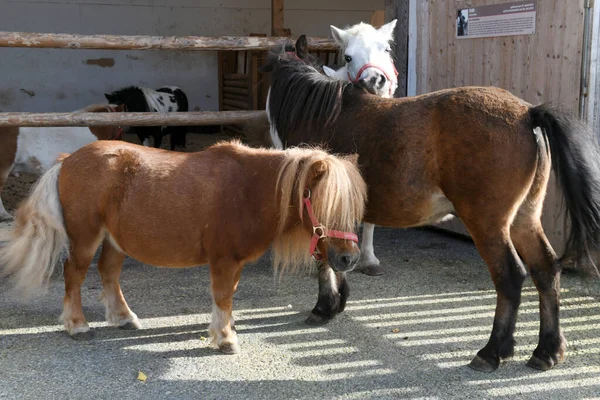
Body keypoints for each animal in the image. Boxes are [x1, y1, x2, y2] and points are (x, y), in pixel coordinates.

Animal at [0, 140, 366, 354]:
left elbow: (228, 296)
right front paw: (225, 338)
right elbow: (223, 296)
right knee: (74, 275)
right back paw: (77, 325)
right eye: (326, 205)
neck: (249, 189)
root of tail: (67, 160)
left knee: (108, 272)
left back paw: (123, 317)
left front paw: (226, 329)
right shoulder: (223, 260)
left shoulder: (233, 263)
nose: (348, 259)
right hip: (86, 238)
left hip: (115, 240)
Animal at [262, 39, 600, 372]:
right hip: (524, 219)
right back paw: (547, 350)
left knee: (511, 276)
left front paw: (324, 306)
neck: (320, 115)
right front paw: (337, 301)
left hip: (488, 224)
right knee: (546, 270)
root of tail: (527, 113)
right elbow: (337, 255)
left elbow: (324, 259)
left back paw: (492, 351)